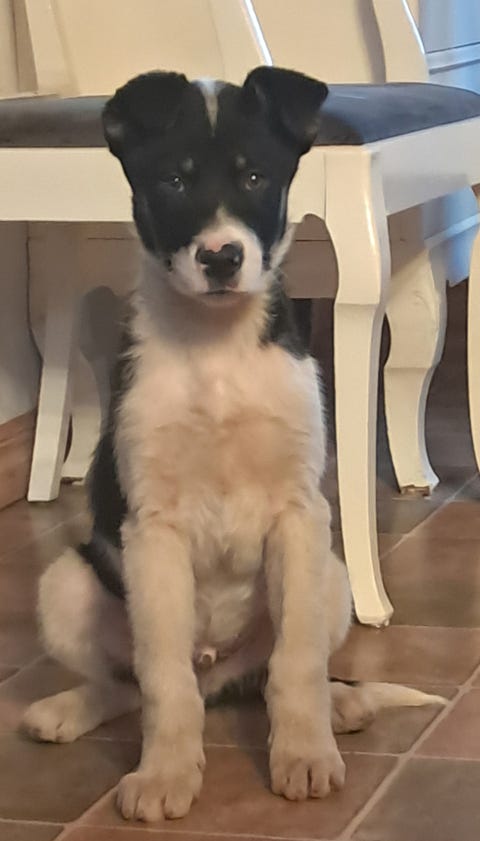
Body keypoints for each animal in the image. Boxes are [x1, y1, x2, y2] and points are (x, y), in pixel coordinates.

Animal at [22, 67, 445, 822]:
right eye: (172, 181)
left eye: (255, 177)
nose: (221, 258)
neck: (215, 348)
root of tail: (219, 671)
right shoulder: (151, 531)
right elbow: (161, 679)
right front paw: (165, 773)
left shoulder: (301, 517)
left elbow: (296, 664)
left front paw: (303, 754)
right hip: (67, 583)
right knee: (131, 681)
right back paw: (67, 709)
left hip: (332, 576)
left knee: (273, 670)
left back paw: (341, 705)